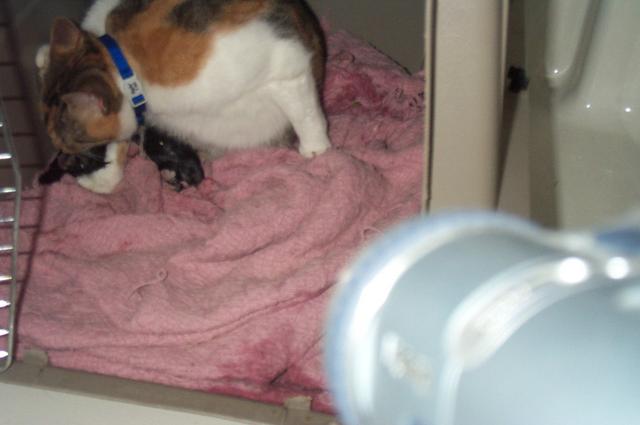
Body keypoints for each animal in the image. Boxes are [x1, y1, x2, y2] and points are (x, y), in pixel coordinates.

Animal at [35, 0, 331, 193]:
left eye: (63, 139)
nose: (61, 155)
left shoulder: (286, 62)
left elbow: (305, 113)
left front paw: (317, 151)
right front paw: (103, 179)